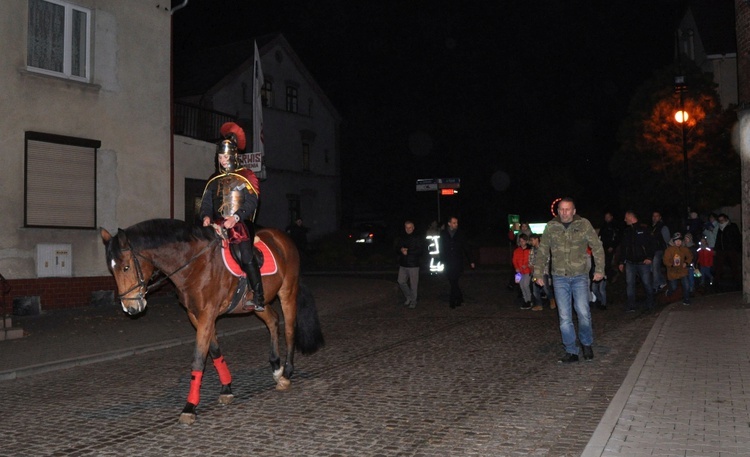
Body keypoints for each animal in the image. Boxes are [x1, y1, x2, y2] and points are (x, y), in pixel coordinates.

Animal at [100, 217, 324, 424]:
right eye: (111, 269)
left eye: (126, 267)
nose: (130, 308)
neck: (194, 264)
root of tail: (283, 238)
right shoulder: (197, 315)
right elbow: (214, 351)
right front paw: (226, 388)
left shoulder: (207, 313)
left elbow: (199, 358)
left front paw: (189, 407)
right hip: (257, 304)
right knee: (273, 321)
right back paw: (276, 368)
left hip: (288, 292)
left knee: (289, 329)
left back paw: (286, 374)